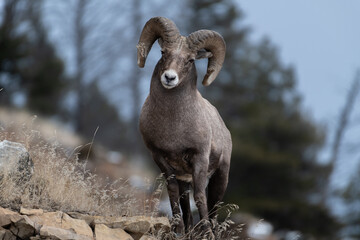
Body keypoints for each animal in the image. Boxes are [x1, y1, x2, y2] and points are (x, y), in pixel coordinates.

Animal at [136, 16, 232, 232]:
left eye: (190, 60)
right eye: (163, 52)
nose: (169, 77)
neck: (174, 126)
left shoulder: (199, 159)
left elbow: (200, 196)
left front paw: (206, 232)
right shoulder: (161, 159)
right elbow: (172, 193)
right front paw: (177, 230)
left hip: (221, 176)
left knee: (213, 208)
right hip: (185, 181)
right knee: (186, 206)